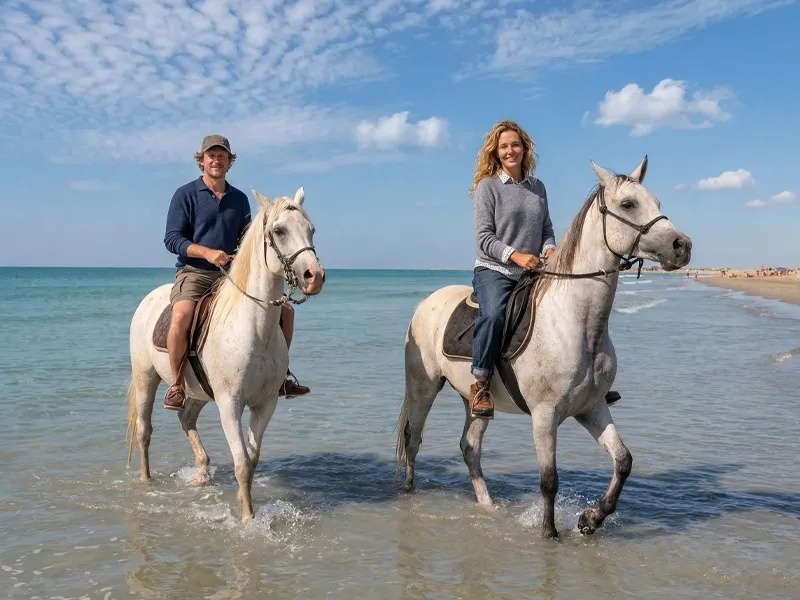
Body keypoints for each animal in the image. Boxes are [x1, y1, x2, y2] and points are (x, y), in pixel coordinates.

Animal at [125, 186, 325, 522]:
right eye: (279, 231)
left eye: (311, 229)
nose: (315, 276)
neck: (253, 327)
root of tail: (149, 299)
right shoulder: (230, 404)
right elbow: (242, 462)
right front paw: (247, 520)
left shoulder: (265, 404)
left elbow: (252, 460)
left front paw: (243, 504)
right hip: (146, 377)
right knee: (144, 430)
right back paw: (146, 481)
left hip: (197, 392)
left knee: (186, 418)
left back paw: (200, 473)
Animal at [395, 156, 692, 539]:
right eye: (628, 204)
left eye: (656, 201)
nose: (682, 245)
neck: (577, 325)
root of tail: (426, 304)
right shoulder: (544, 415)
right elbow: (549, 479)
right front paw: (550, 534)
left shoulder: (592, 408)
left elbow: (623, 461)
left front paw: (591, 519)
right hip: (424, 386)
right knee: (413, 439)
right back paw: (409, 497)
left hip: (474, 401)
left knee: (470, 447)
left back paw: (488, 506)